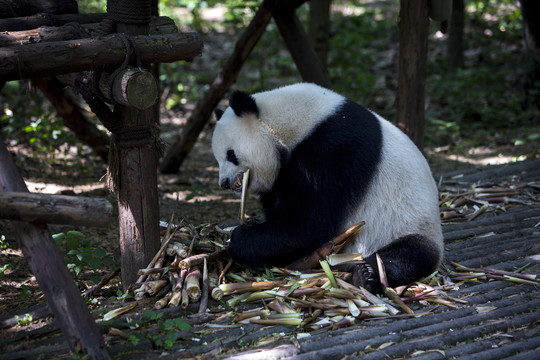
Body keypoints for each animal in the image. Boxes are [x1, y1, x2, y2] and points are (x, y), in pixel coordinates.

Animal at [211, 83, 442, 294]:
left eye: (231, 155)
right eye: (217, 158)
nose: (224, 183)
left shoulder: (333, 149)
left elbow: (308, 224)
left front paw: (242, 239)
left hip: (409, 224)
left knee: (406, 256)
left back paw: (366, 275)